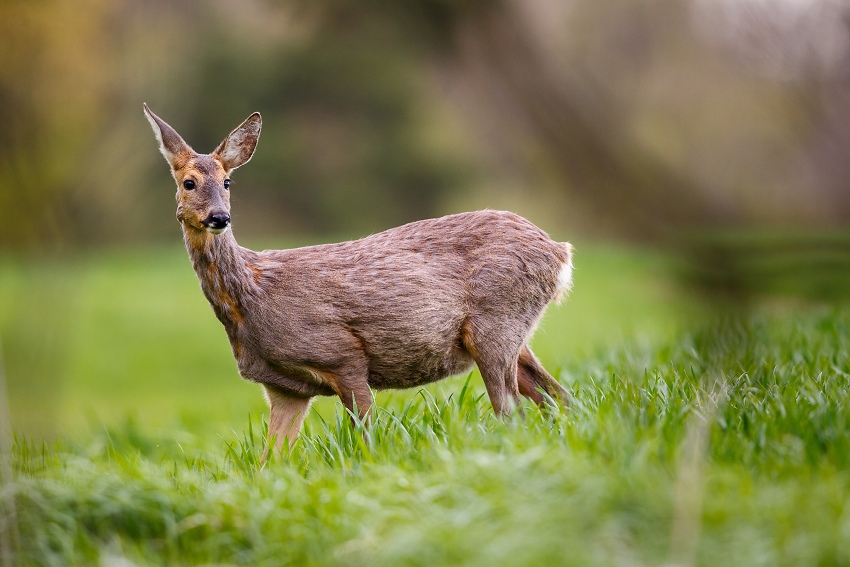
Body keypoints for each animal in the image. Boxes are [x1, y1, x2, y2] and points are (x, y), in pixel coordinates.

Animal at [143, 104, 574, 452]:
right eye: (188, 182)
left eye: (228, 182)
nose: (220, 217)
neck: (252, 296)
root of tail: (559, 251)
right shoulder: (284, 388)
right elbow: (271, 461)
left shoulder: (343, 356)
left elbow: (366, 439)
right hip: (513, 336)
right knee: (558, 398)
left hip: (496, 324)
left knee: (514, 412)